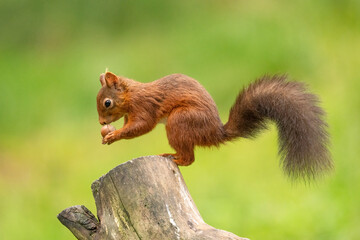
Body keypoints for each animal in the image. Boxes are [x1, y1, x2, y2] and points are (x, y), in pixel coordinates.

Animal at [97, 71, 332, 180]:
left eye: (107, 102)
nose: (101, 123)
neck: (131, 94)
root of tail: (215, 133)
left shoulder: (145, 106)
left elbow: (142, 126)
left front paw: (113, 136)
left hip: (179, 121)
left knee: (190, 158)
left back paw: (174, 158)